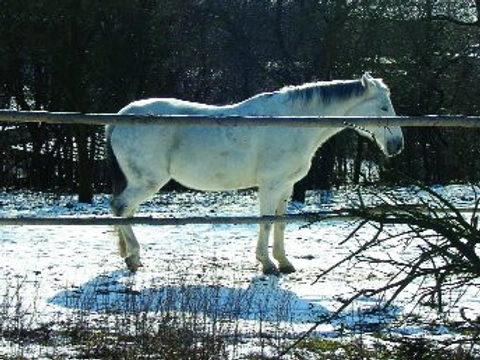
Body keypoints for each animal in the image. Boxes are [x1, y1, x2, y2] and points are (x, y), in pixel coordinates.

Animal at [107, 74, 404, 276]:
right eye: (383, 107)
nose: (397, 145)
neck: (292, 124)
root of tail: (119, 118)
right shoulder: (271, 186)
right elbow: (266, 222)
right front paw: (267, 263)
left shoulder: (285, 187)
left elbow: (281, 223)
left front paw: (284, 262)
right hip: (146, 181)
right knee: (120, 208)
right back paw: (133, 257)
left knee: (125, 211)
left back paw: (131, 255)